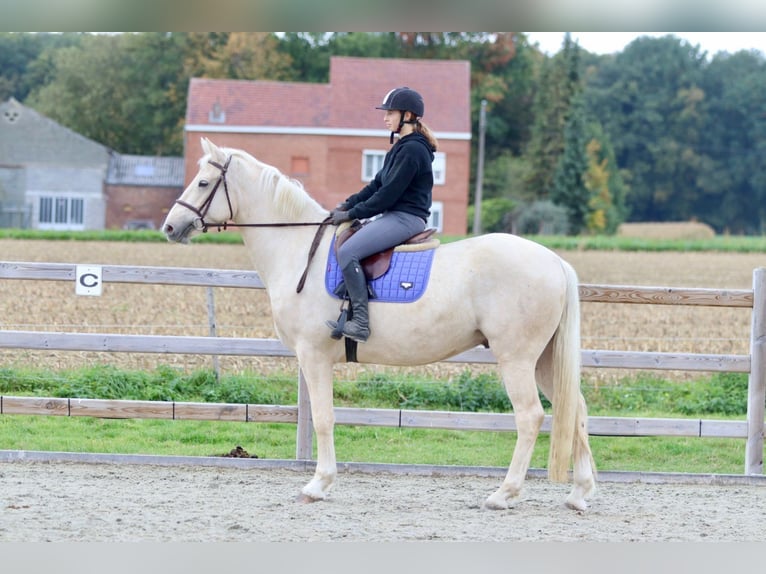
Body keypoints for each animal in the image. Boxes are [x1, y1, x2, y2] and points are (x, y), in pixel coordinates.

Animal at [162, 138, 596, 511]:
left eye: (203, 182)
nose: (170, 226)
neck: (300, 252)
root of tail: (554, 261)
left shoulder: (314, 357)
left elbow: (324, 419)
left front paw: (318, 484)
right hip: (543, 360)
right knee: (575, 410)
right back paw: (578, 493)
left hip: (517, 359)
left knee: (530, 417)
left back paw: (504, 493)